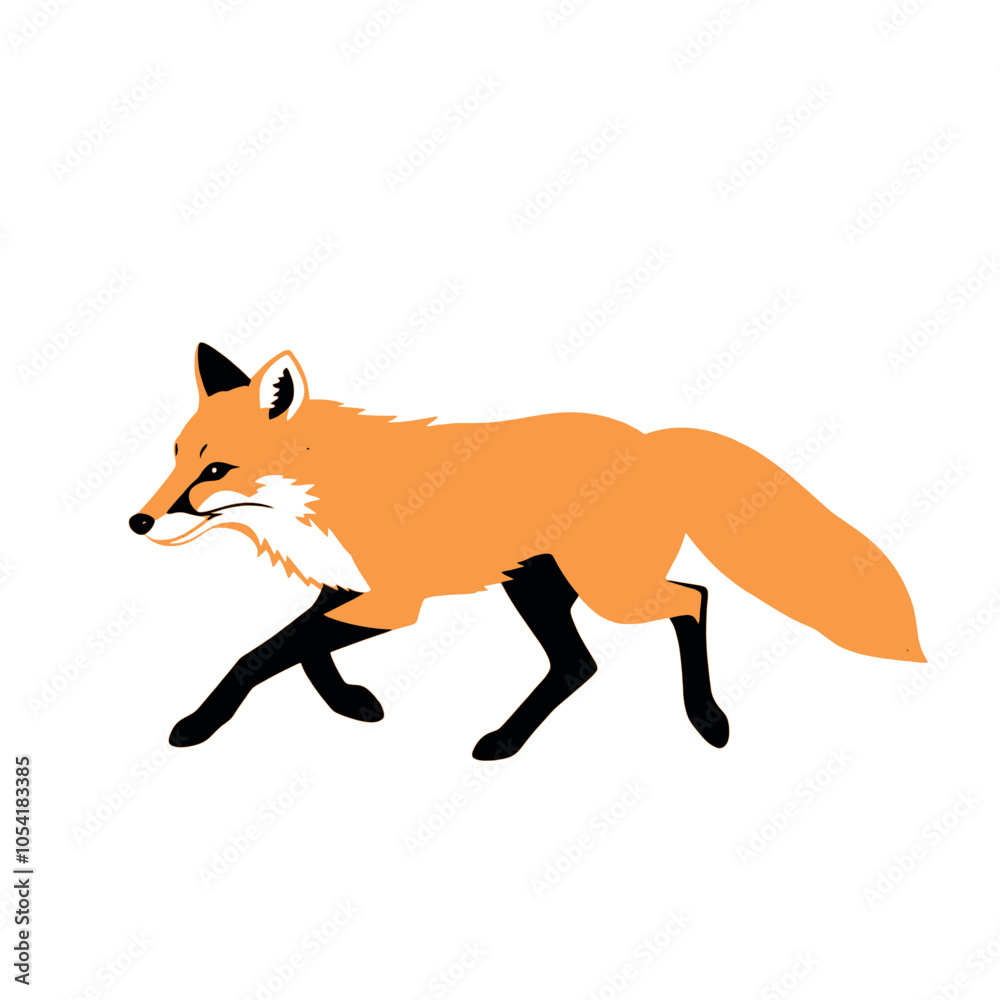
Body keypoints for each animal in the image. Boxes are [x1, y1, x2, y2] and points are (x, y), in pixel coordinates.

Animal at [130, 344, 924, 759]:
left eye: (214, 470)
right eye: (175, 457)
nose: (138, 522)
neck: (325, 499)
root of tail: (650, 442)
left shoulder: (394, 603)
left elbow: (261, 655)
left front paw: (198, 725)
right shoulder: (350, 591)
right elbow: (301, 650)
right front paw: (352, 703)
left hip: (609, 592)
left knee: (693, 599)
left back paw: (707, 719)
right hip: (537, 588)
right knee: (578, 663)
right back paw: (506, 740)